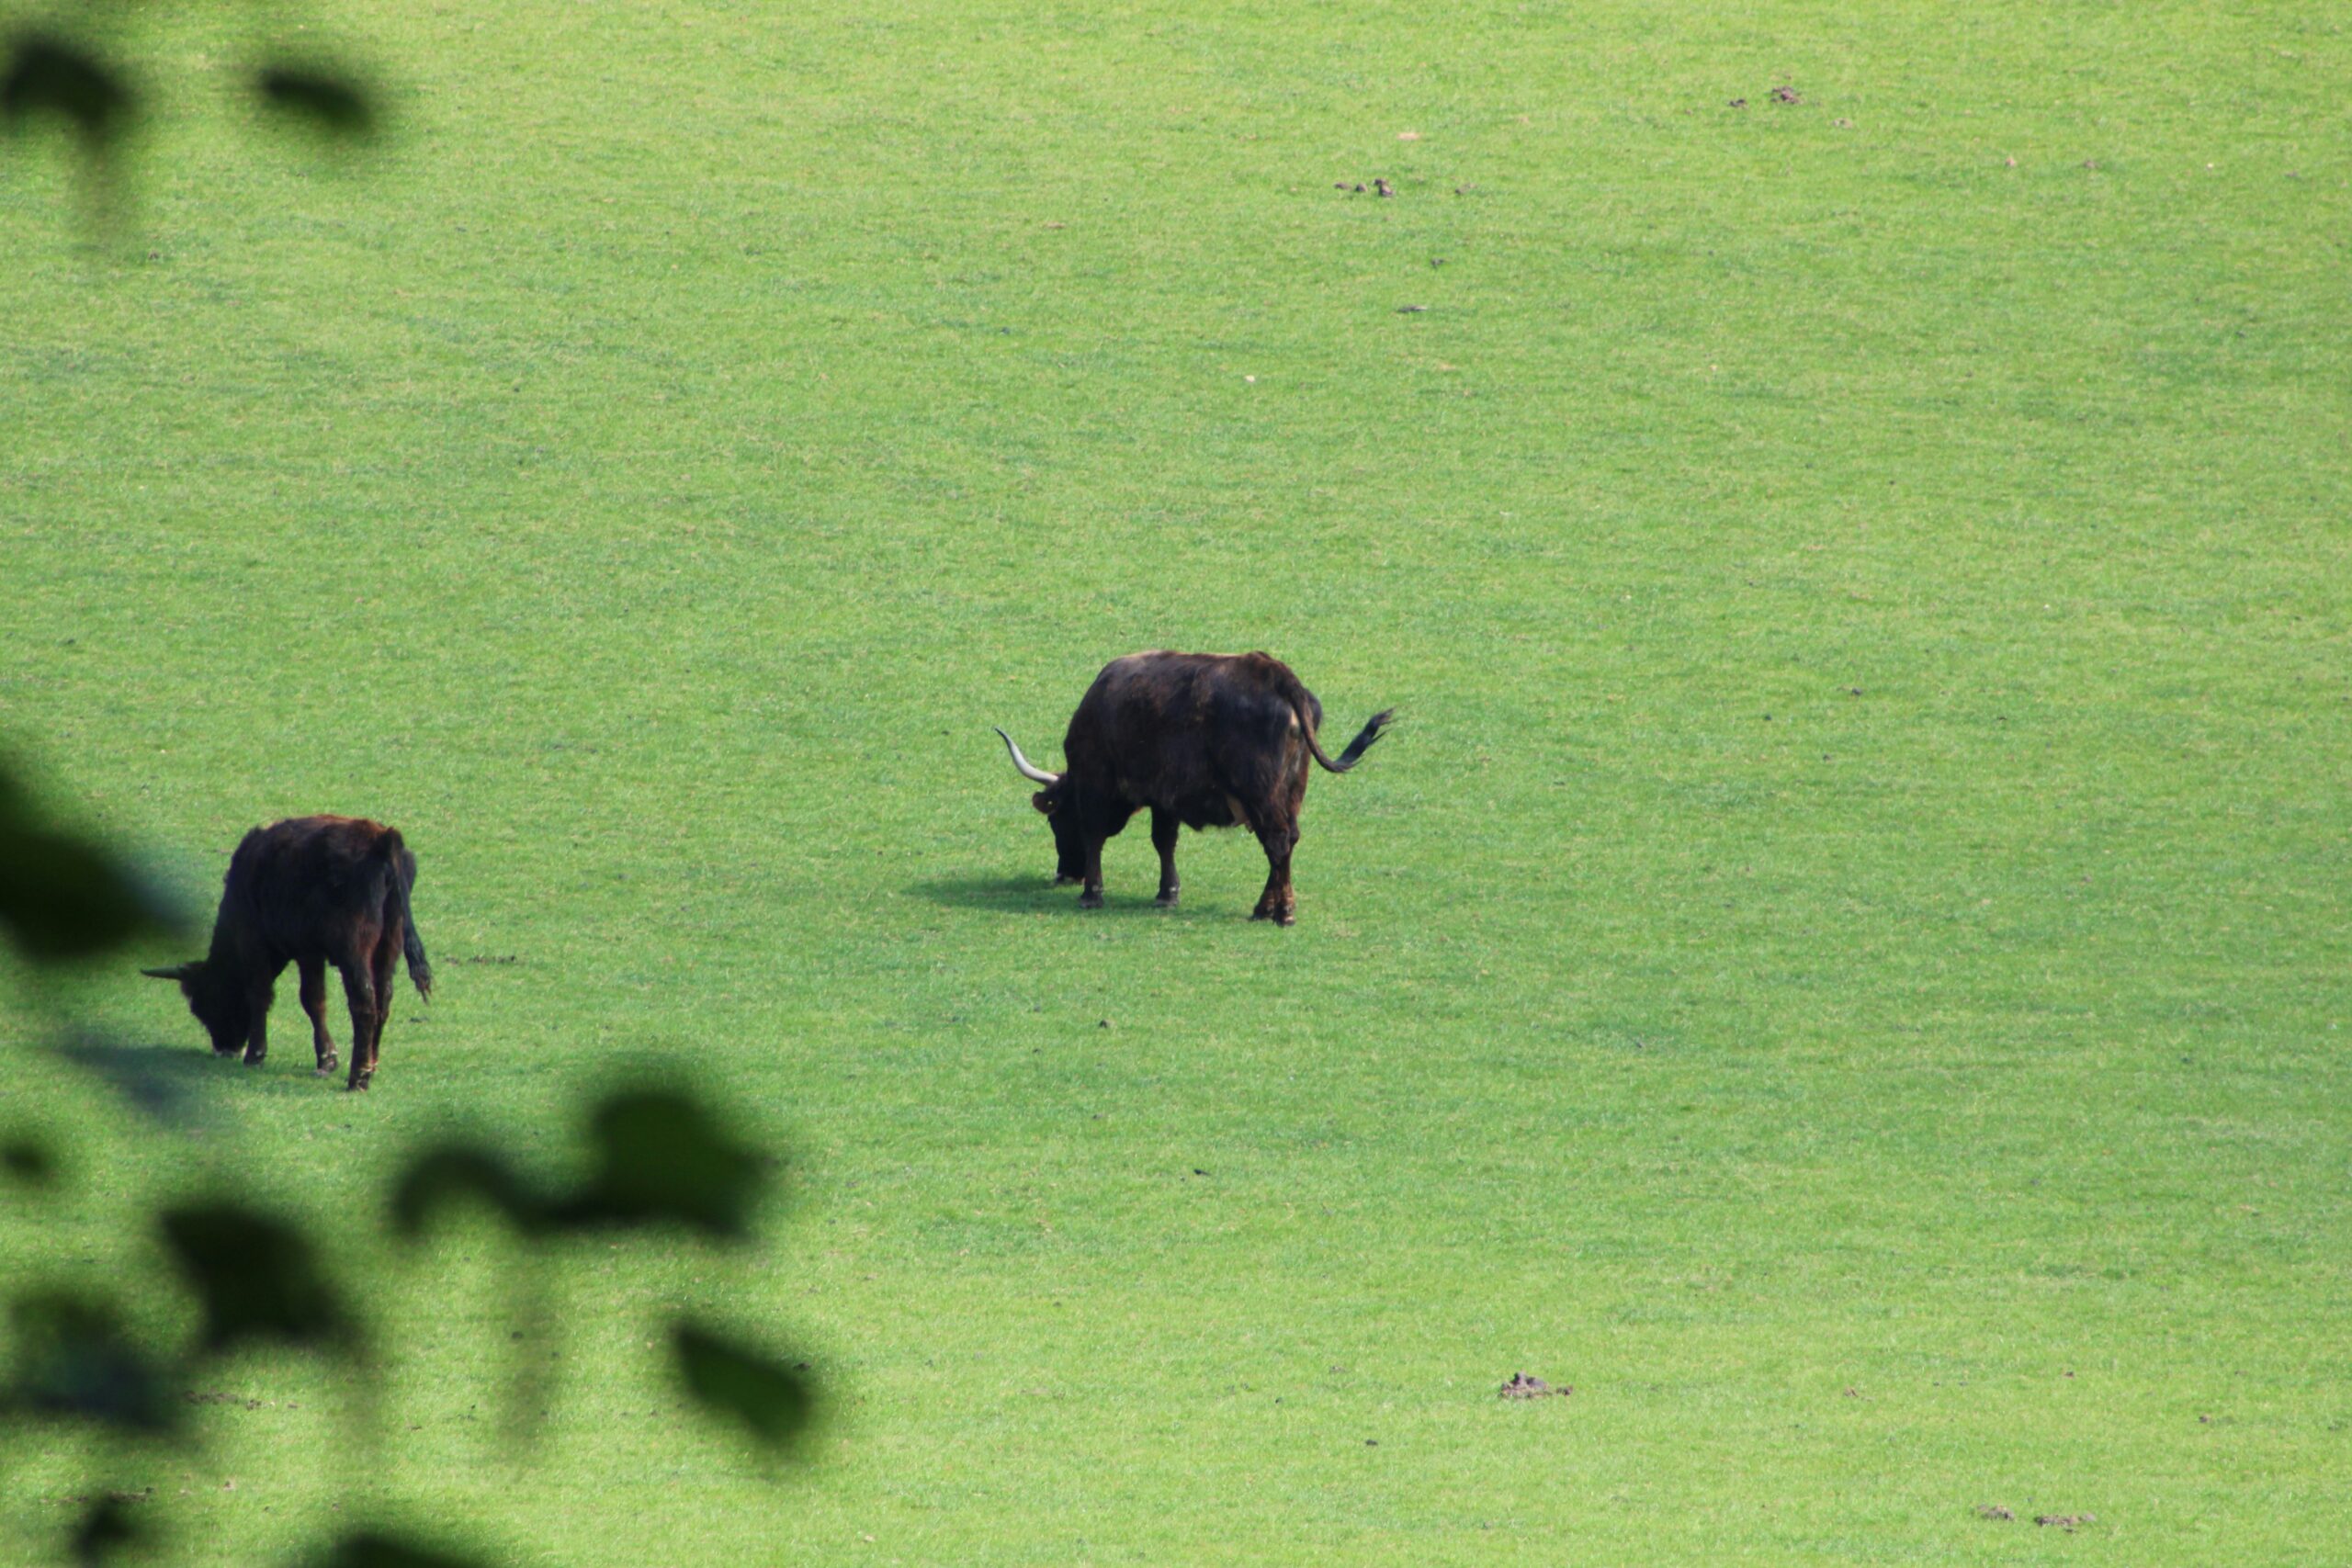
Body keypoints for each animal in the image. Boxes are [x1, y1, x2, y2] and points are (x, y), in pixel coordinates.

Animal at [141, 822, 435, 1090]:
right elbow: (316, 1001)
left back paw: (358, 1077)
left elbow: (267, 995)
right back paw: (371, 1065)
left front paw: (256, 1055)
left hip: (355, 949)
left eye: (202, 1004)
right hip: (388, 948)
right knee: (383, 999)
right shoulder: (310, 952)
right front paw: (327, 1059)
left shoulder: (257, 942)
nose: (224, 1048)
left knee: (364, 1002)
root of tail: (382, 839)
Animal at [997, 649, 1392, 921]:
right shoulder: (1165, 798)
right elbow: (1165, 842)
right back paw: (1269, 906)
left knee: (1277, 841)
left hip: (1261, 792)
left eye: (1056, 819)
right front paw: (1167, 893)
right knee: (1287, 841)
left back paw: (1278, 911)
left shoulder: (1096, 783)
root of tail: (1272, 672)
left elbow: (1097, 835)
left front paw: (1092, 893)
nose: (1065, 873)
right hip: (1292, 789)